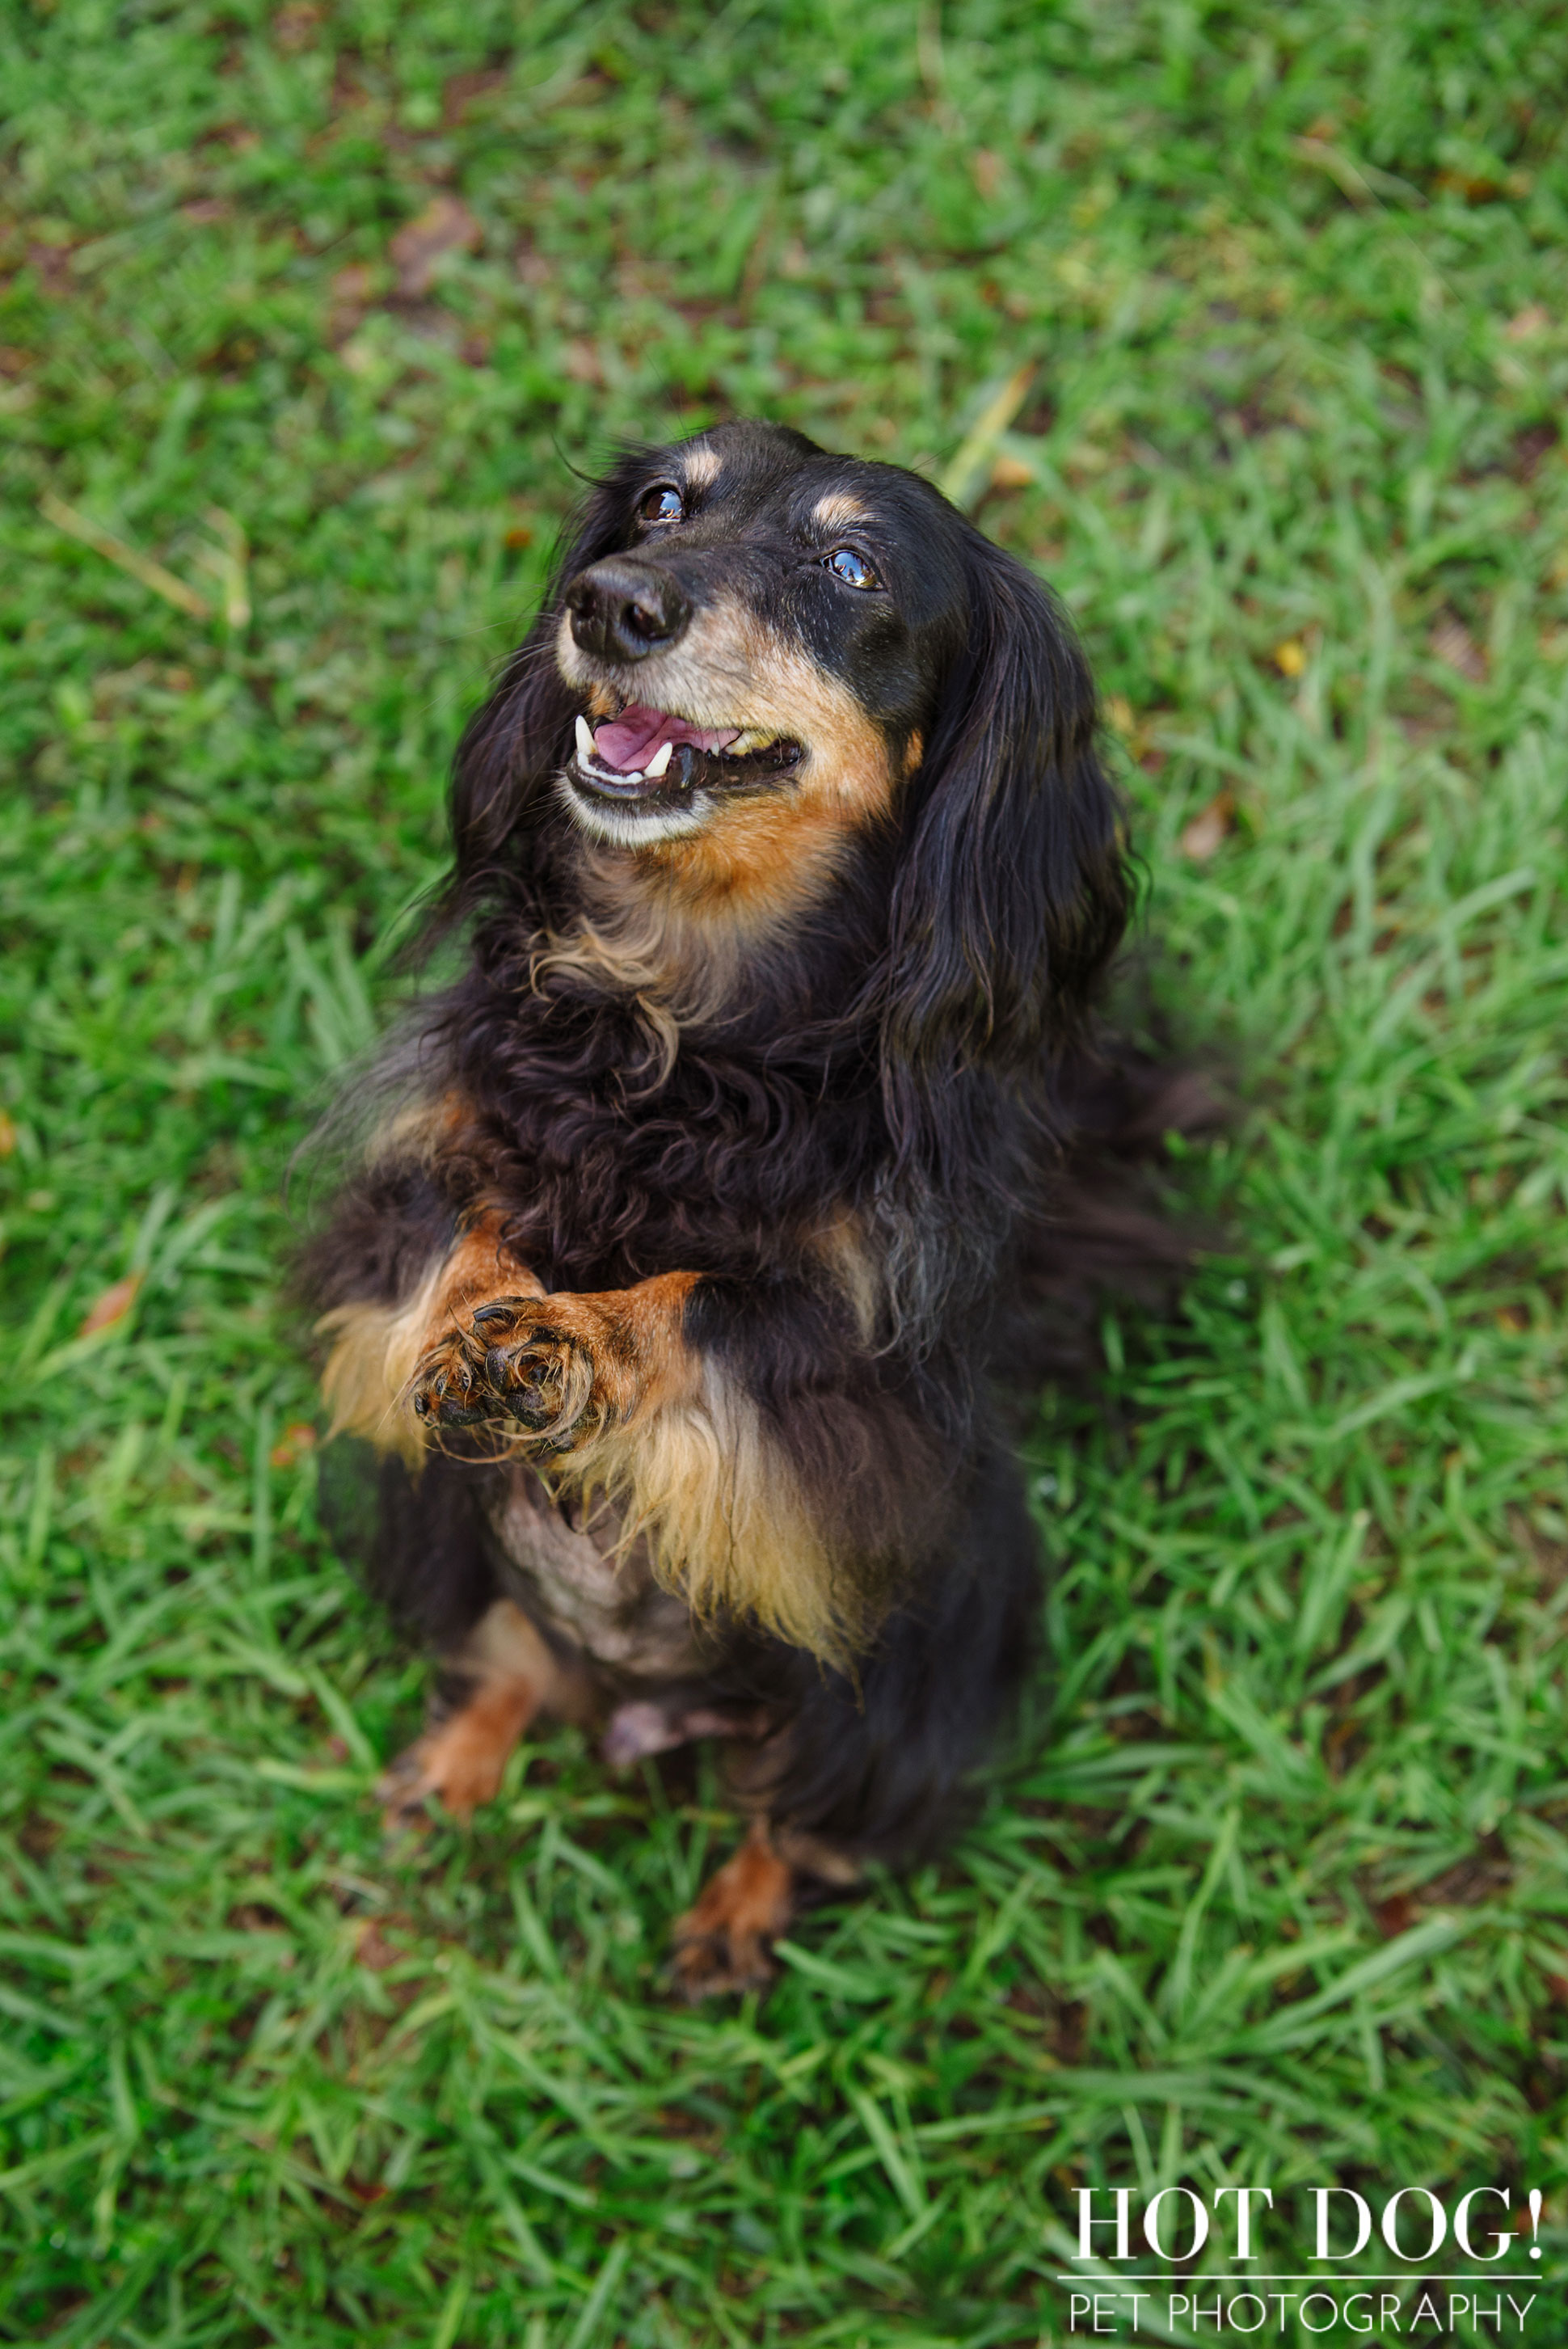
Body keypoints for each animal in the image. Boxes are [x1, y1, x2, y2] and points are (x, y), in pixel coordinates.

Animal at [305, 413, 1192, 1992]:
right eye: (663, 502)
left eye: (852, 568)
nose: (611, 604)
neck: (684, 1030)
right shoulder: (407, 1182)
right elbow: (461, 1222)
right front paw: (494, 1322)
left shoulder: (850, 1371)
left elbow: (706, 1302)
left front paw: (574, 1343)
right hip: (461, 1553)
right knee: (513, 1664)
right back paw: (451, 1763)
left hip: (892, 1690)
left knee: (801, 1810)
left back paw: (736, 1915)